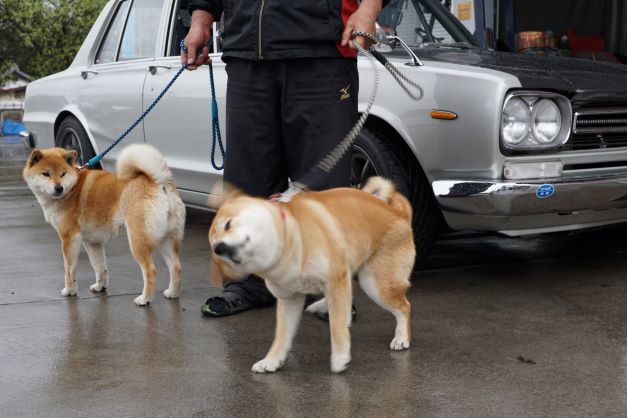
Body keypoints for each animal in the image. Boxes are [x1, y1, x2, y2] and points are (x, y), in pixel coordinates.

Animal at [24, 145, 186, 306]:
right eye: (46, 174)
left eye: (63, 174)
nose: (59, 188)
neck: (73, 188)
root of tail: (159, 183)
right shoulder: (92, 242)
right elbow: (99, 266)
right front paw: (100, 286)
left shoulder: (69, 239)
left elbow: (69, 270)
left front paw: (69, 290)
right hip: (166, 240)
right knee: (176, 267)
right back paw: (172, 293)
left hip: (137, 242)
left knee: (150, 270)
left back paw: (144, 299)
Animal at [210, 176, 418, 372]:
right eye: (215, 249)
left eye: (228, 224)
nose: (219, 247)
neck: (291, 241)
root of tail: (398, 213)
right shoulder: (289, 299)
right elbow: (282, 335)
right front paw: (272, 361)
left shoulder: (335, 280)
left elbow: (336, 326)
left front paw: (340, 357)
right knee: (351, 290)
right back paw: (323, 306)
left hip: (375, 284)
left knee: (404, 306)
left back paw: (401, 337)